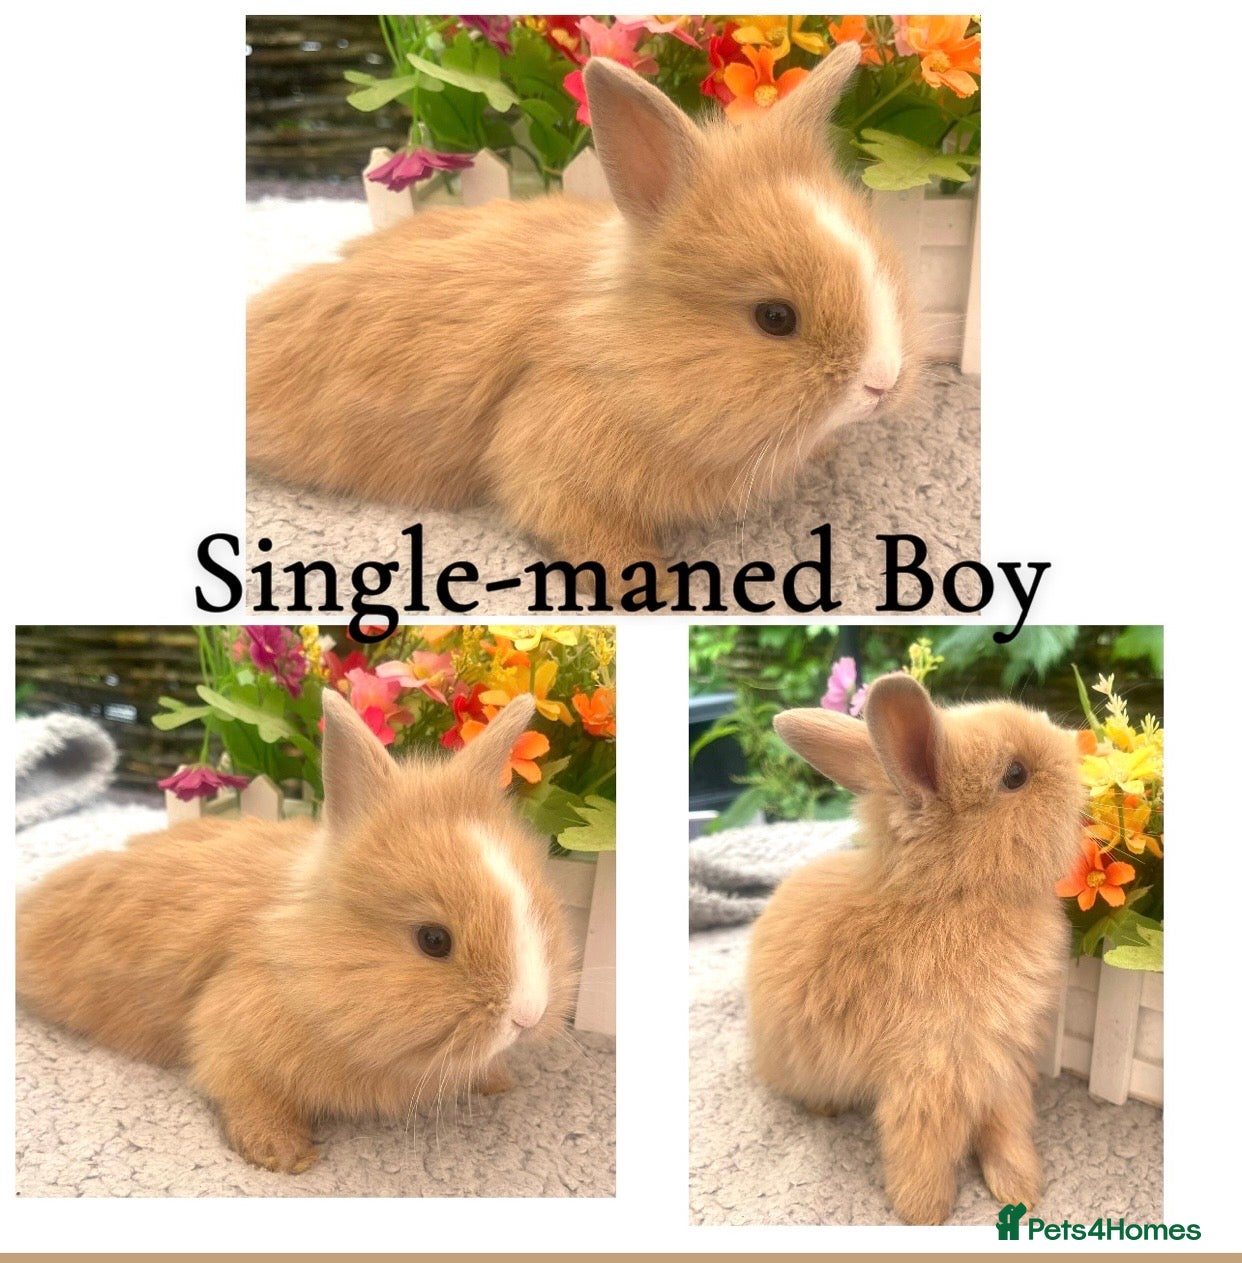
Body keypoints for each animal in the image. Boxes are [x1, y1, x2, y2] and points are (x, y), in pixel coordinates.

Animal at [16, 690, 573, 1173]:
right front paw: (283, 1156)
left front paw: (497, 1082)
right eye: (433, 940)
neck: (304, 955)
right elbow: (245, 1093)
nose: (527, 1016)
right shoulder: (228, 1037)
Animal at [247, 41, 917, 587]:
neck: (622, 355)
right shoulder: (549, 471)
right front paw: (660, 593)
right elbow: (600, 540)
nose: (881, 383)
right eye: (775, 317)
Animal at [747, 672, 1084, 1224]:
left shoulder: (1001, 1065)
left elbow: (1006, 1130)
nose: (1079, 754)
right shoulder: (927, 1072)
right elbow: (921, 1145)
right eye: (1015, 775)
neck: (954, 896)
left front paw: (1020, 1191)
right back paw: (827, 1108)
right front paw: (924, 1210)